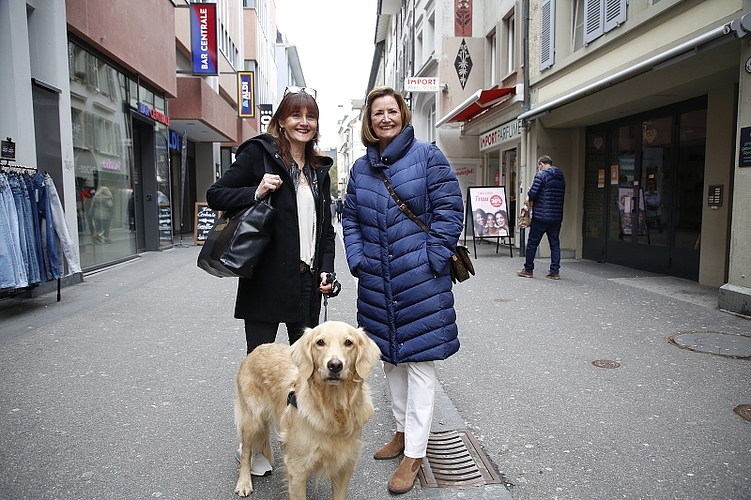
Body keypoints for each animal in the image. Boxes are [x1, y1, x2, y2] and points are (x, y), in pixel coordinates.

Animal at [234, 322, 382, 498]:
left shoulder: (344, 467)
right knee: (246, 452)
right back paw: (244, 483)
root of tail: (258, 348)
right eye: (320, 342)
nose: (335, 365)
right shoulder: (297, 470)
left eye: (348, 342)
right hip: (252, 419)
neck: (332, 409)